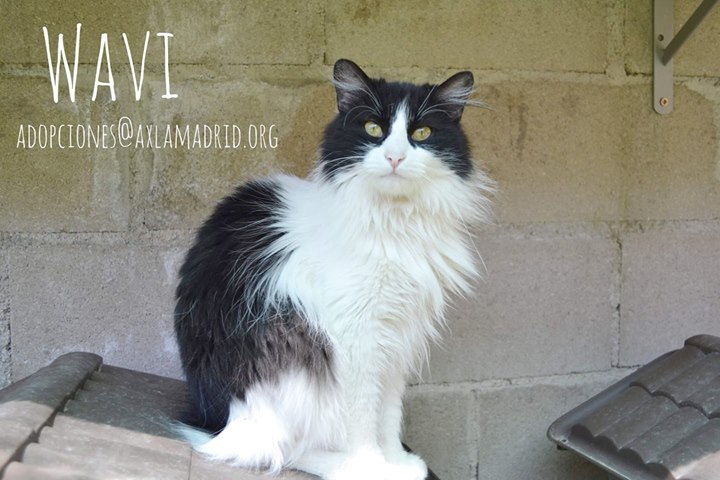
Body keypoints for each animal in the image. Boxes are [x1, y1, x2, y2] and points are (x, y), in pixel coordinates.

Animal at [173, 59, 494, 480]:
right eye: (373, 129)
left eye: (421, 133)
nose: (395, 158)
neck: (396, 222)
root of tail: (216, 419)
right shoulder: (356, 337)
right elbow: (363, 418)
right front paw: (373, 466)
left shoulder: (397, 337)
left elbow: (389, 413)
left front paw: (397, 461)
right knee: (280, 450)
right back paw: (342, 465)